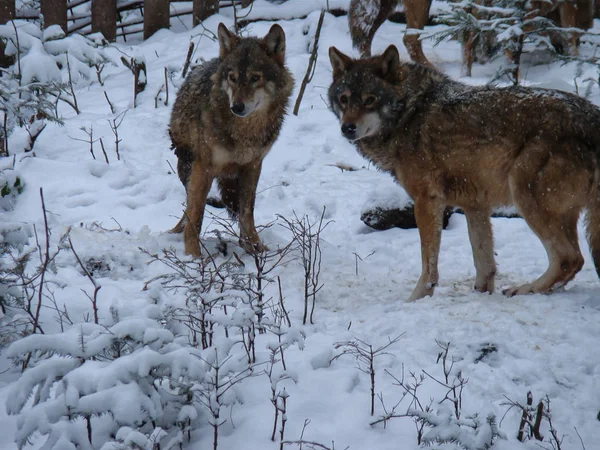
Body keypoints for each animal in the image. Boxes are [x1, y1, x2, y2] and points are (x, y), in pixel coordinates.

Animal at [169, 22, 292, 256]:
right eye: (232, 78)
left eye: (255, 78)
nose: (237, 107)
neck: (245, 132)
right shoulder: (203, 167)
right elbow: (196, 216)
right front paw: (193, 255)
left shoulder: (253, 165)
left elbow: (247, 212)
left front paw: (254, 247)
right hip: (188, 165)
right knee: (188, 209)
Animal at [328, 44, 600, 302]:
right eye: (344, 99)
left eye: (370, 99)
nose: (347, 128)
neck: (409, 113)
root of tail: (592, 118)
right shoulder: (475, 204)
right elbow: (484, 263)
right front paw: (481, 294)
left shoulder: (427, 201)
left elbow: (429, 264)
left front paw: (417, 299)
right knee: (574, 260)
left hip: (526, 198)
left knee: (568, 258)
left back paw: (525, 290)